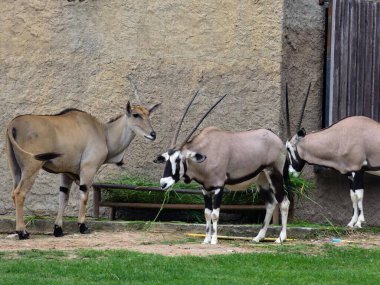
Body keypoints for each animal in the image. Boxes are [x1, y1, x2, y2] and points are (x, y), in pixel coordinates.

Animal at [6, 99, 160, 237]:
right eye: (136, 115)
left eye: (148, 114)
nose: (153, 134)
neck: (103, 133)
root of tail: (13, 124)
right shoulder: (88, 168)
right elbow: (84, 195)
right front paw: (82, 226)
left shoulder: (66, 173)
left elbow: (63, 197)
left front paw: (58, 229)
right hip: (32, 166)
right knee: (19, 193)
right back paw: (22, 232)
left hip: (16, 170)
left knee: (14, 192)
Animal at [154, 92, 290, 243]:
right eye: (166, 159)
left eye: (178, 160)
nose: (163, 183)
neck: (207, 152)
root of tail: (277, 139)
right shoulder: (205, 189)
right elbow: (207, 213)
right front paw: (206, 240)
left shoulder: (219, 187)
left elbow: (215, 214)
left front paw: (214, 240)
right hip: (262, 179)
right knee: (271, 204)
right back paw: (258, 237)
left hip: (274, 174)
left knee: (284, 202)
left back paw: (280, 238)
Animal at [284, 83, 380, 227]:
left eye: (289, 148)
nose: (290, 173)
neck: (339, 136)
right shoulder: (349, 173)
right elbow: (352, 196)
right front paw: (351, 223)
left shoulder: (357, 170)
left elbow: (359, 195)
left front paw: (359, 222)